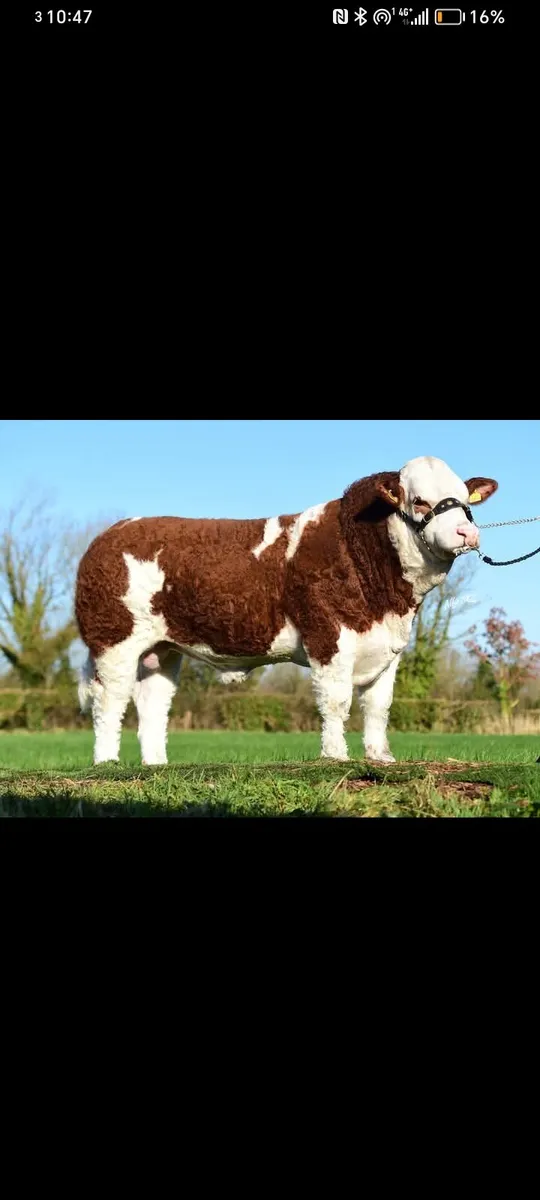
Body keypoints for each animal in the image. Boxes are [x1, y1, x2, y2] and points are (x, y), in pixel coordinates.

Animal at [75, 457, 498, 765]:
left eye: (464, 499)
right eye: (419, 501)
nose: (466, 532)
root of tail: (111, 533)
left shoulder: (389, 648)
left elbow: (378, 705)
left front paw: (381, 758)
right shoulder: (328, 636)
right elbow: (336, 700)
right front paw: (335, 757)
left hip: (162, 649)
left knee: (153, 703)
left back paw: (156, 766)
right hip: (113, 640)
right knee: (110, 699)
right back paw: (107, 763)